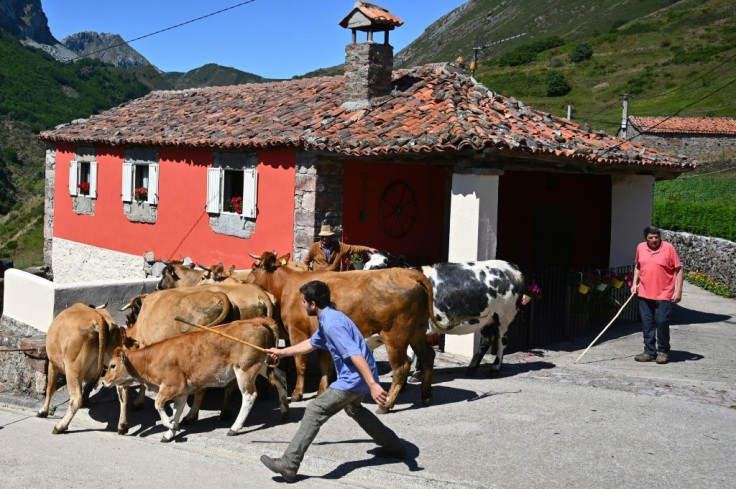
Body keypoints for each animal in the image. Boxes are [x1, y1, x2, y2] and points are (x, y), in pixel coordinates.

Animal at [37, 304, 129, 432]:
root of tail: (98, 317)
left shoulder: (52, 364)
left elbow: (50, 389)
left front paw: (43, 411)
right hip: (114, 361)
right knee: (123, 391)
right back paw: (122, 426)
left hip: (72, 368)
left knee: (76, 398)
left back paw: (60, 426)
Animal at [102, 316, 286, 442]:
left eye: (112, 365)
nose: (104, 381)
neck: (152, 358)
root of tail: (257, 321)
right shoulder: (182, 392)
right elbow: (177, 411)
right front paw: (170, 432)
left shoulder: (172, 386)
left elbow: (158, 404)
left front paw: (169, 425)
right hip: (262, 364)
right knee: (281, 378)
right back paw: (284, 408)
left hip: (245, 369)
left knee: (249, 396)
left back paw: (235, 427)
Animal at [247, 248, 434, 412]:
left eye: (255, 266)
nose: (245, 282)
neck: (289, 284)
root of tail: (410, 274)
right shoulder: (321, 333)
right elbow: (324, 364)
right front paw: (321, 391)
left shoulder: (297, 331)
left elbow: (301, 363)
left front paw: (297, 394)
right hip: (417, 331)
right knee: (427, 356)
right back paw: (426, 396)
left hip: (395, 336)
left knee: (401, 367)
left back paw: (386, 404)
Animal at [362, 250, 524, 376]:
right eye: (365, 266)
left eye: (379, 268)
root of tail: (512, 267)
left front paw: (416, 374)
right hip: (488, 318)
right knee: (486, 341)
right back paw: (471, 368)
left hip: (505, 316)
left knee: (502, 341)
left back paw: (495, 368)